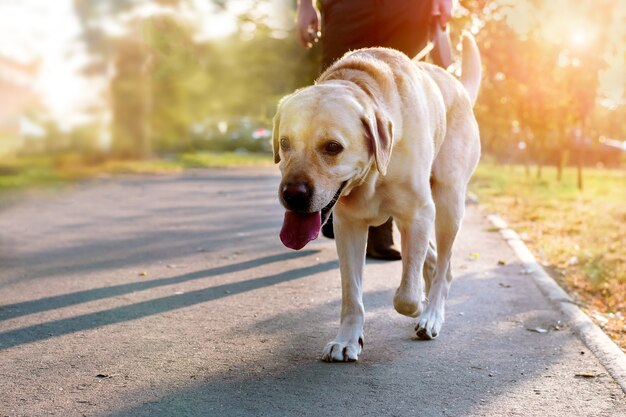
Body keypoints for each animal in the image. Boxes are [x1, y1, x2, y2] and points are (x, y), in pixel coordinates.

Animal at [270, 31, 480, 360]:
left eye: (333, 147)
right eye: (285, 143)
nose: (293, 194)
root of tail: (458, 87)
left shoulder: (417, 214)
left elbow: (406, 297)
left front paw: (417, 304)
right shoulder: (349, 226)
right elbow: (351, 293)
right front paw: (347, 339)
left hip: (448, 204)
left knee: (443, 268)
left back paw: (432, 314)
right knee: (432, 258)